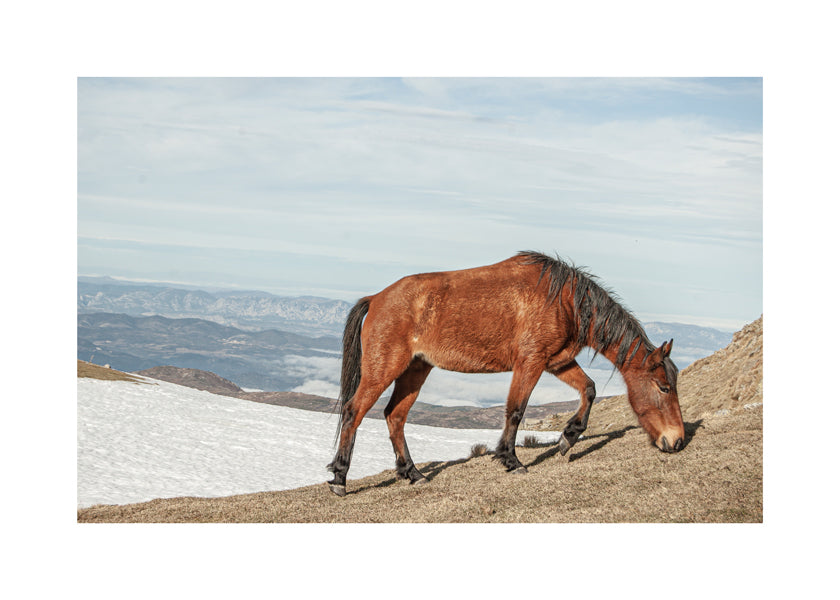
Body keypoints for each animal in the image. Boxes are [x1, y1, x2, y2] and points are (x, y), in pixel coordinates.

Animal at [327, 251, 684, 496]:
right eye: (664, 387)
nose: (677, 441)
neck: (563, 300)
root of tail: (376, 299)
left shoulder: (557, 362)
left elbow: (590, 389)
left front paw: (568, 438)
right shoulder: (530, 362)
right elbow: (515, 410)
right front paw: (511, 461)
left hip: (416, 368)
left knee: (395, 415)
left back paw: (412, 473)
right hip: (384, 368)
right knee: (355, 411)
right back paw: (340, 478)